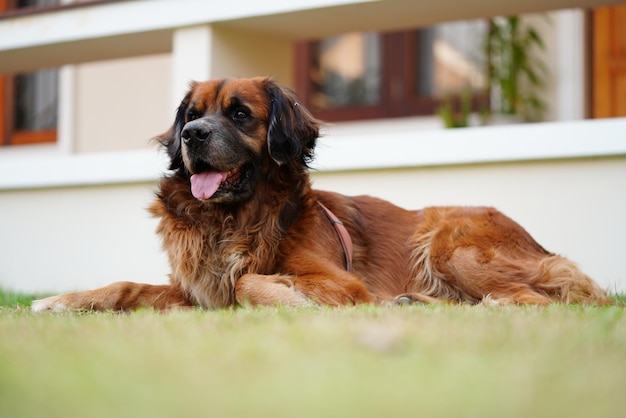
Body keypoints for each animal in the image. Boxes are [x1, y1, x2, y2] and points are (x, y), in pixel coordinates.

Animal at [30, 76, 608, 312]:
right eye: (191, 115)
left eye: (240, 114)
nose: (192, 135)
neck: (234, 219)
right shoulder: (195, 291)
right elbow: (125, 286)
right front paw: (59, 301)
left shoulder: (338, 280)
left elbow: (250, 283)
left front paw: (288, 299)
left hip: (451, 242)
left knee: (531, 300)